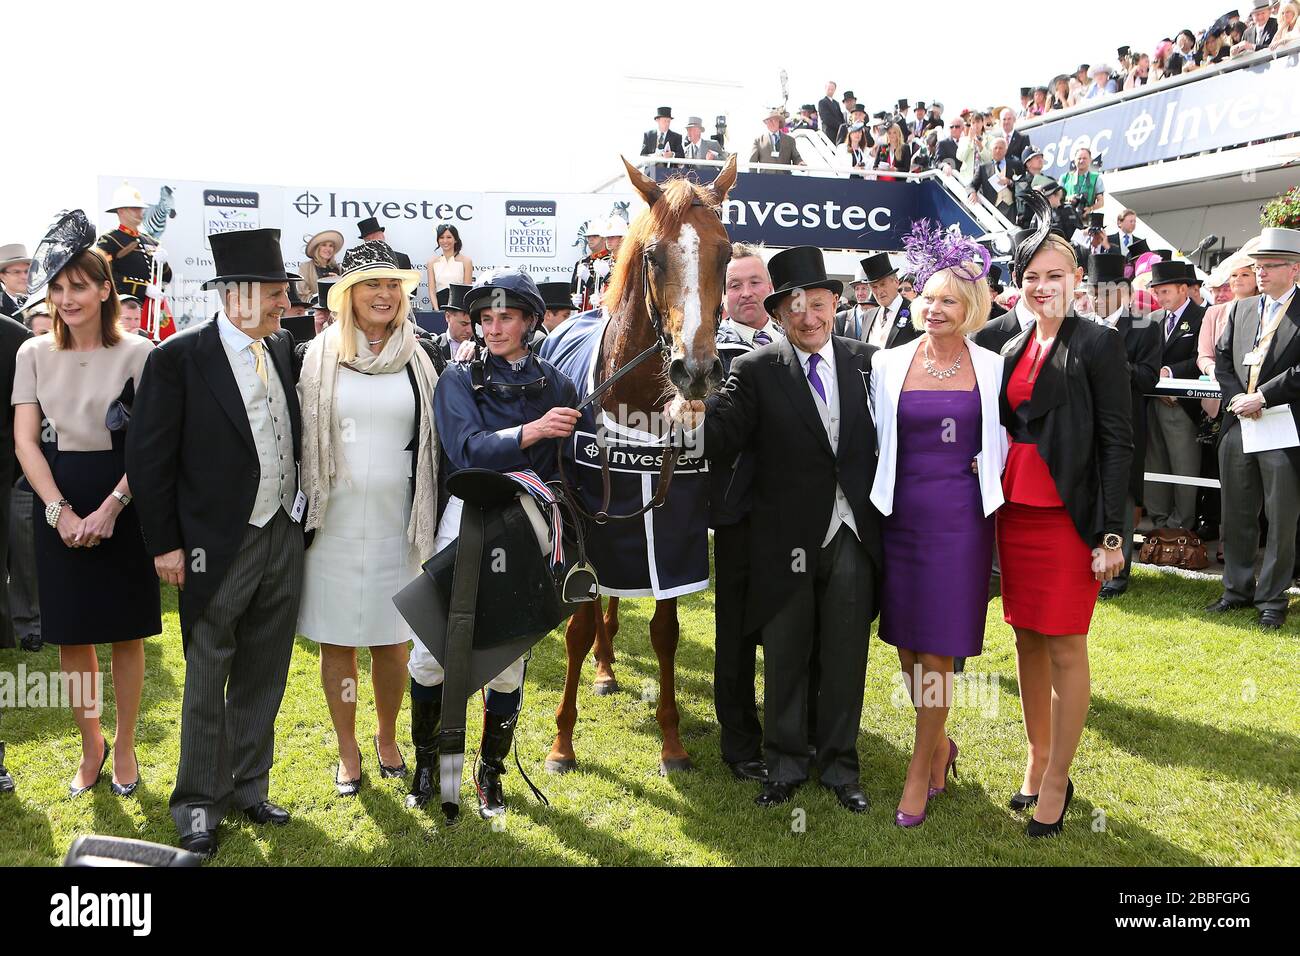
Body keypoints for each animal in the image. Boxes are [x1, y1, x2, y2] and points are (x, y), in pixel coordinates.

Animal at [543, 155, 738, 780]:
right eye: (653, 255)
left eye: (726, 252)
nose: (696, 371)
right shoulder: (590, 518)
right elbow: (577, 627)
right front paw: (562, 743)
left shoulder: (670, 528)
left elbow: (665, 631)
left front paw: (672, 743)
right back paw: (602, 668)